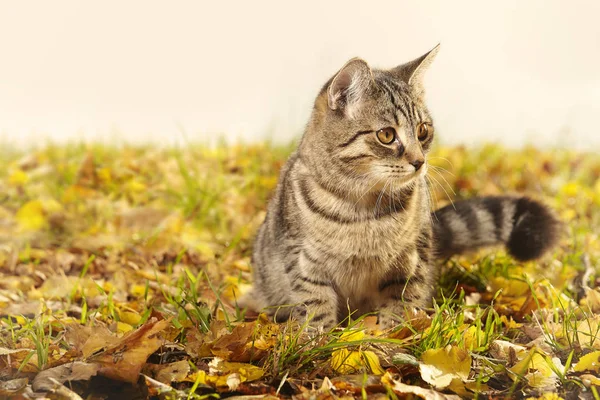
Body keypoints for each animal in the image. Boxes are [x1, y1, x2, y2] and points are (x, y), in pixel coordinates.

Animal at [241, 46, 560, 328]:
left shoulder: (411, 261)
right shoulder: (304, 263)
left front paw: (391, 340)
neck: (361, 208)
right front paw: (320, 345)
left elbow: (401, 311)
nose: (419, 162)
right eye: (386, 135)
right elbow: (315, 311)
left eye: (423, 131)